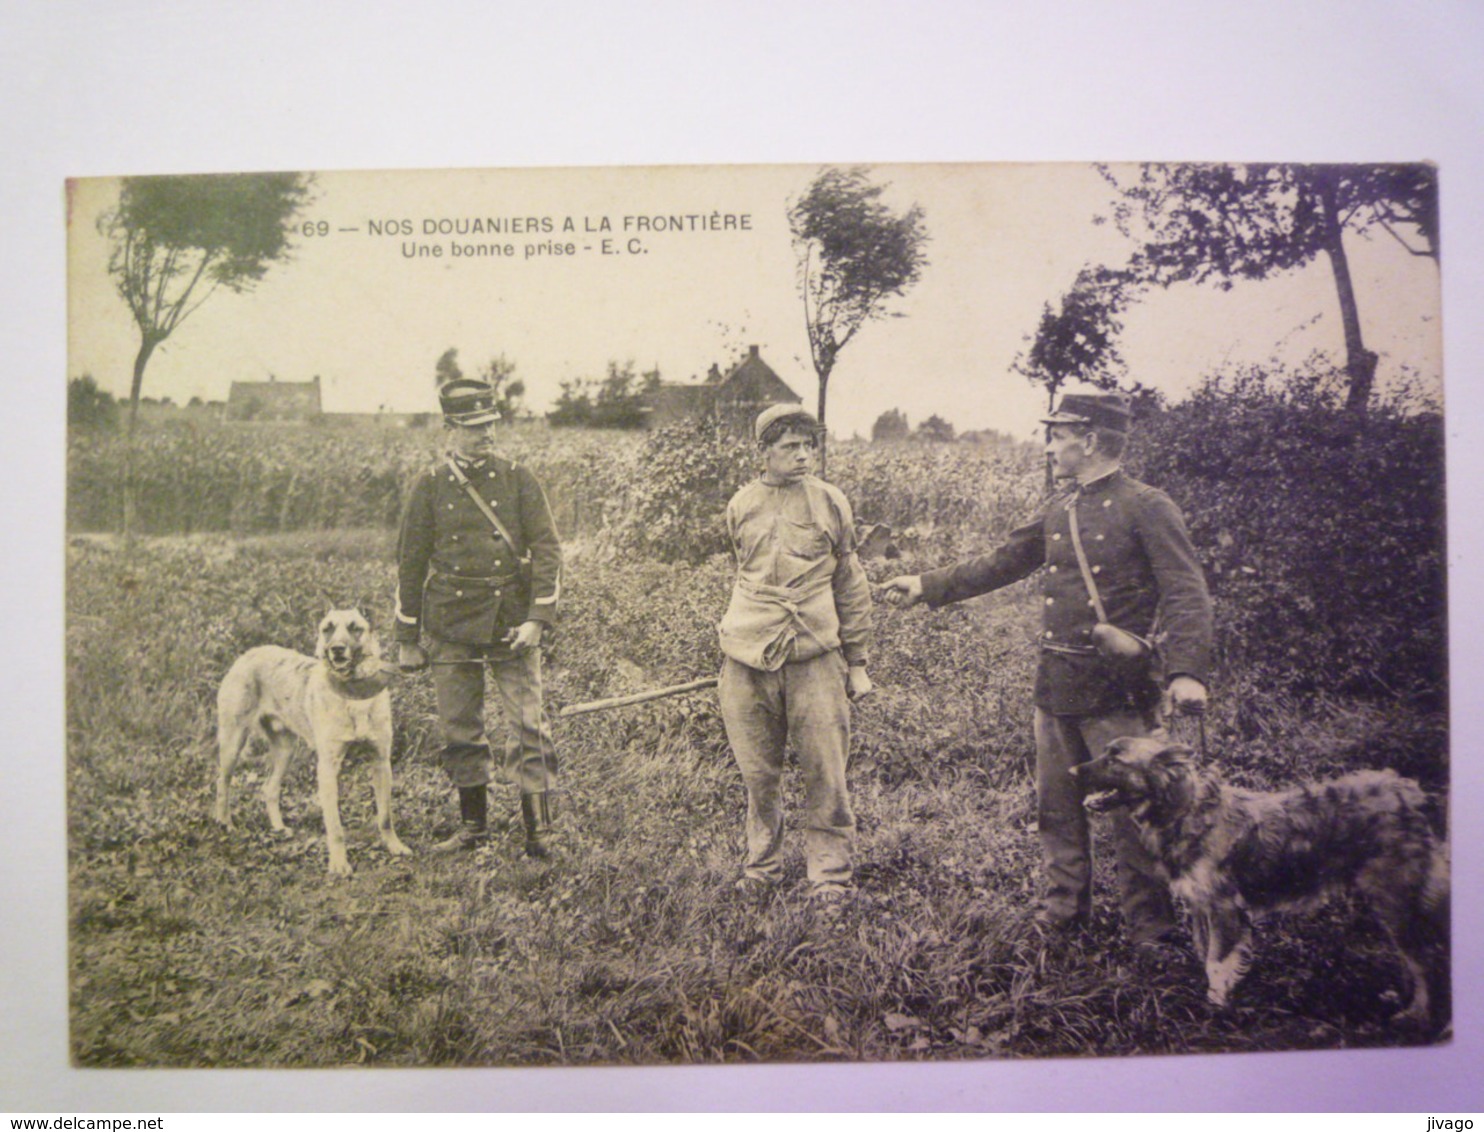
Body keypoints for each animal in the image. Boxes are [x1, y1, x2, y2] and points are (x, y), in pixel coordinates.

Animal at [210, 611, 412, 878]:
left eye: (355, 628)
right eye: (327, 629)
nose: (337, 649)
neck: (352, 693)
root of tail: (248, 654)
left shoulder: (380, 762)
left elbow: (386, 816)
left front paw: (394, 846)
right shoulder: (327, 768)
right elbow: (335, 827)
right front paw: (339, 864)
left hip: (285, 749)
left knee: (269, 788)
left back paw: (279, 828)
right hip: (234, 741)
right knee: (222, 783)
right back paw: (225, 823)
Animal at [1074, 735, 1442, 1026]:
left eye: (1115, 758)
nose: (1072, 772)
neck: (1186, 811)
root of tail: (1409, 792)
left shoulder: (1223, 908)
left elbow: (1217, 962)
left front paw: (1216, 1008)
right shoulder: (1201, 908)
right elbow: (1205, 954)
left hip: (1396, 899)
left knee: (1424, 961)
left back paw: (1417, 1014)